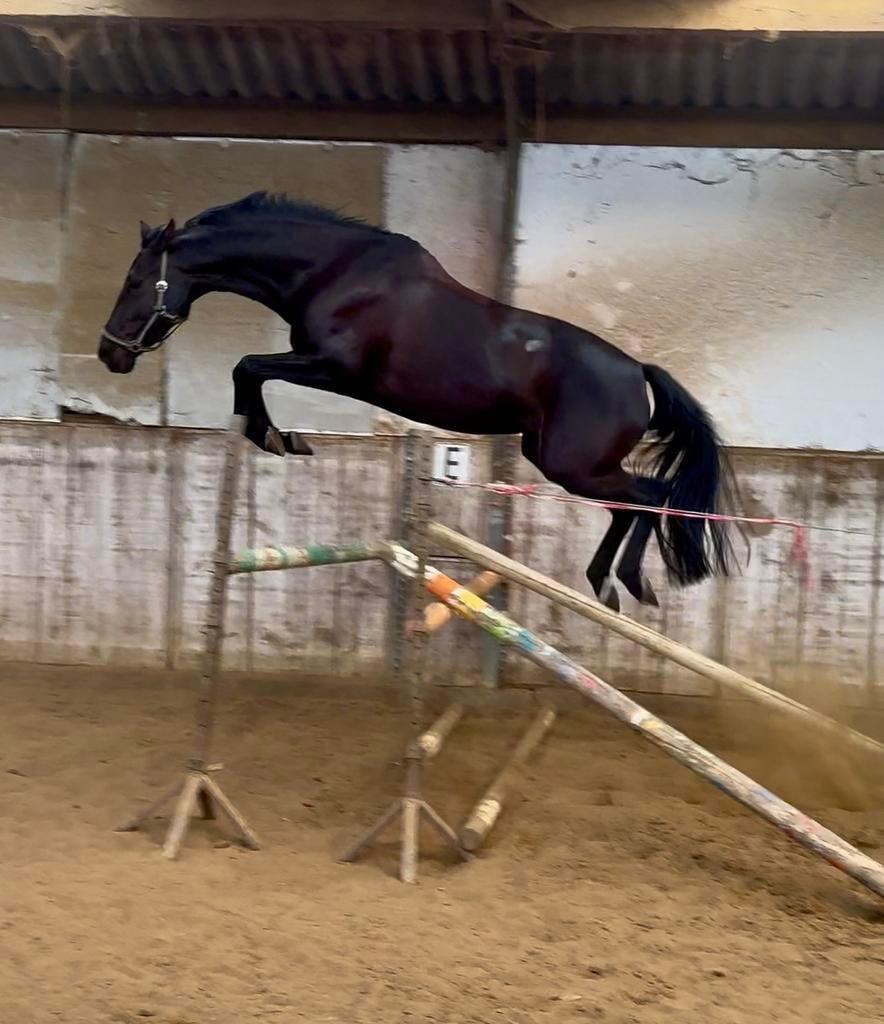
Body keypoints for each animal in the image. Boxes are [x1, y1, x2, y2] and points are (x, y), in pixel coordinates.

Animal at [98, 191, 738, 613]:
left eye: (135, 280)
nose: (109, 353)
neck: (335, 273)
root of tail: (637, 372)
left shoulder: (334, 369)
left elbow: (247, 367)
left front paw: (278, 438)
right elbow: (250, 371)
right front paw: (278, 437)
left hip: (573, 465)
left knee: (650, 496)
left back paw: (627, 582)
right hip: (561, 461)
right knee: (630, 506)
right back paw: (605, 584)